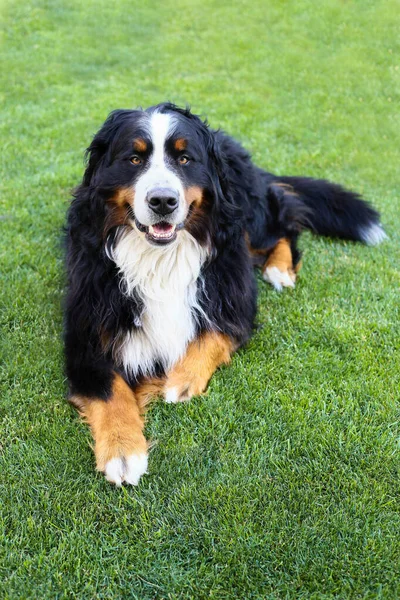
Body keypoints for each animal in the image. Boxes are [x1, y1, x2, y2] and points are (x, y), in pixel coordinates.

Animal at [65, 104, 384, 488]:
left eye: (185, 159)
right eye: (134, 158)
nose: (163, 201)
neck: (159, 259)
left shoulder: (235, 297)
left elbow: (215, 334)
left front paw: (181, 380)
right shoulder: (85, 335)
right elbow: (110, 392)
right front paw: (122, 451)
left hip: (246, 216)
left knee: (283, 227)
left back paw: (279, 269)